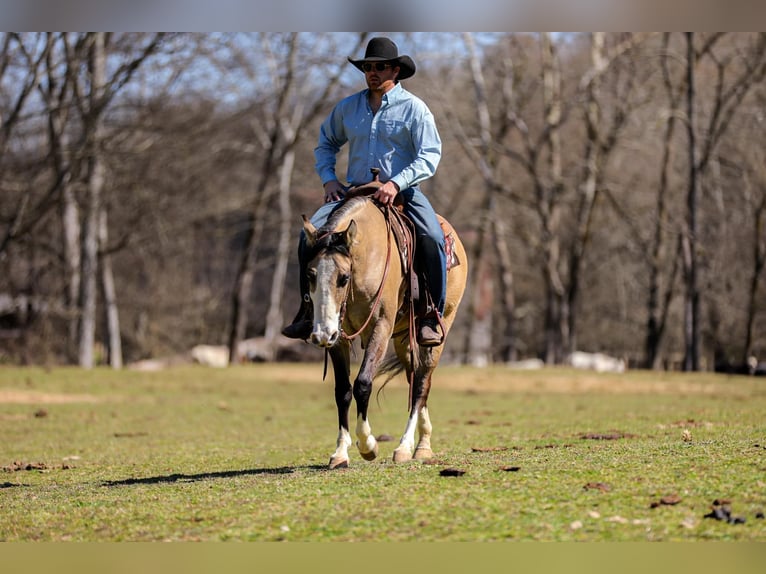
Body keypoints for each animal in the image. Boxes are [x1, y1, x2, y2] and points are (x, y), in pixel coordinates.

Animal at [300, 194, 468, 469]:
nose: (322, 334)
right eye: (310, 274)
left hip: (438, 331)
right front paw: (340, 452)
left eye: (343, 277)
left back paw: (407, 446)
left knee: (422, 383)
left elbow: (363, 383)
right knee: (415, 378)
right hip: (404, 341)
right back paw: (421, 444)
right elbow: (342, 390)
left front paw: (368, 445)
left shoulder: (380, 326)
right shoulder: (339, 338)